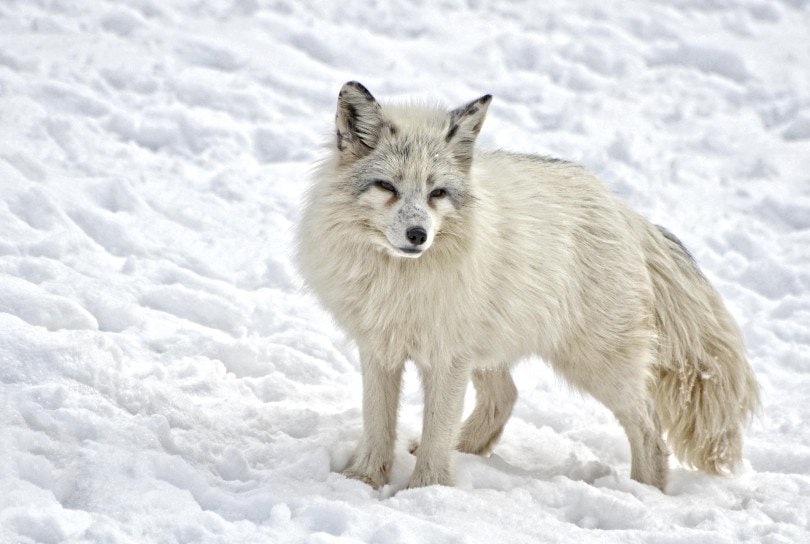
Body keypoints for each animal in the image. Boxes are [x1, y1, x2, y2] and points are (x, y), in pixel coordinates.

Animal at [296, 81, 760, 492]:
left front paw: (425, 492)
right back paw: (466, 450)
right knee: (505, 397)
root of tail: (621, 209)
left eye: (437, 193)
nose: (418, 235)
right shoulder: (380, 349)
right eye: (387, 187)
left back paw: (644, 494)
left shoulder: (446, 358)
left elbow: (436, 432)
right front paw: (363, 481)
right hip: (493, 351)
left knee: (650, 431)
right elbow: (378, 424)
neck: (400, 281)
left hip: (595, 365)